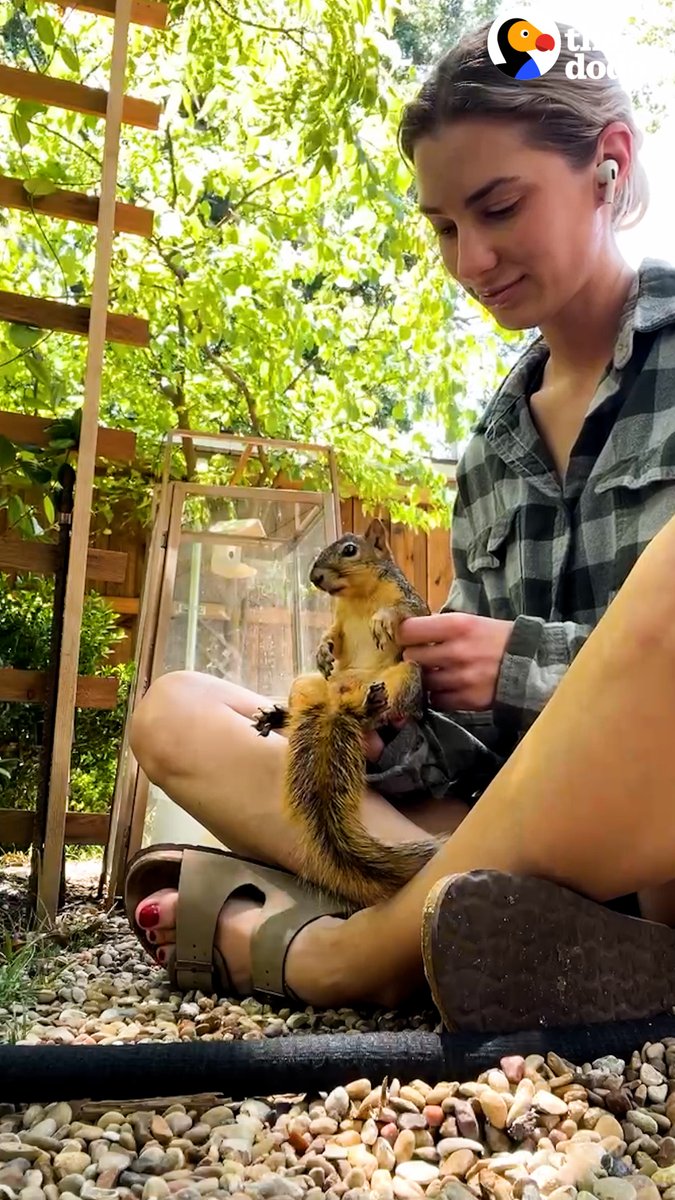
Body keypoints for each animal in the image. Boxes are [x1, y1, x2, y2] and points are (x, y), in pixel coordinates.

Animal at [252, 518, 443, 909]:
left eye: (350, 550)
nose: (315, 577)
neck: (358, 596)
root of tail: (340, 707)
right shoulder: (339, 619)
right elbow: (335, 637)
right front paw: (323, 650)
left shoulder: (412, 603)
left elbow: (408, 612)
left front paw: (383, 619)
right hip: (308, 686)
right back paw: (279, 717)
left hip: (404, 678)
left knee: (382, 711)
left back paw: (371, 708)